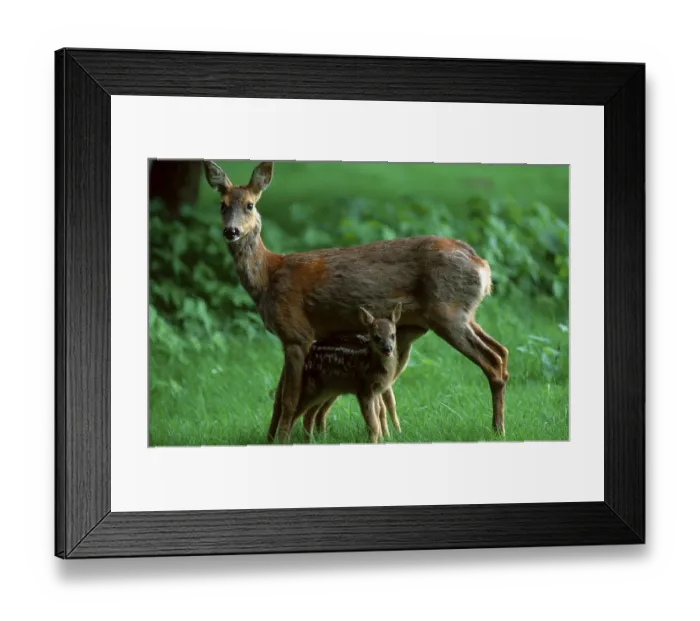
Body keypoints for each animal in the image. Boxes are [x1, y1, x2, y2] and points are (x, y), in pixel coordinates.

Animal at [203, 160, 509, 443]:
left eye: (250, 205)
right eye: (222, 205)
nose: (231, 231)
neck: (268, 276)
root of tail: (482, 266)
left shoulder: (296, 333)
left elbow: (288, 396)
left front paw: (281, 440)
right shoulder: (290, 338)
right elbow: (278, 395)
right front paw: (269, 439)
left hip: (447, 312)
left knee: (492, 362)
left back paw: (497, 429)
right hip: (464, 314)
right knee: (502, 351)